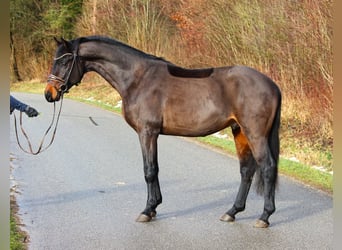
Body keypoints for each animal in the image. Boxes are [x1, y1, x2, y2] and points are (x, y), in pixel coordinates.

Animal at [44, 35, 280, 229]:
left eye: (64, 61)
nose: (49, 94)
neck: (138, 79)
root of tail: (272, 85)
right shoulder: (151, 134)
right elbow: (154, 169)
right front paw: (154, 208)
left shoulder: (147, 132)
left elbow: (149, 170)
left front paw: (147, 210)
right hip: (239, 131)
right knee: (246, 171)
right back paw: (232, 212)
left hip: (255, 134)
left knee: (267, 167)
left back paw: (264, 217)